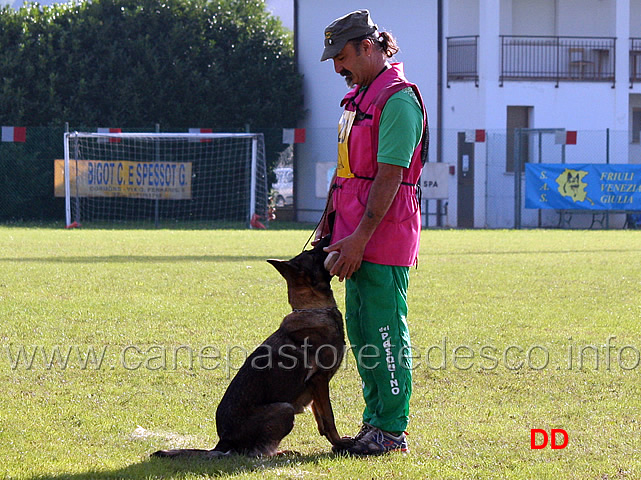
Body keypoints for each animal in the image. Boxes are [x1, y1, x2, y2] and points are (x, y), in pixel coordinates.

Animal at [152, 236, 352, 458]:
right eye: (313, 254)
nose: (327, 236)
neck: (314, 308)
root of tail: (222, 442)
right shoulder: (319, 380)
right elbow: (329, 418)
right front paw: (341, 445)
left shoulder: (316, 387)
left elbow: (321, 421)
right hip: (284, 409)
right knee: (255, 453)